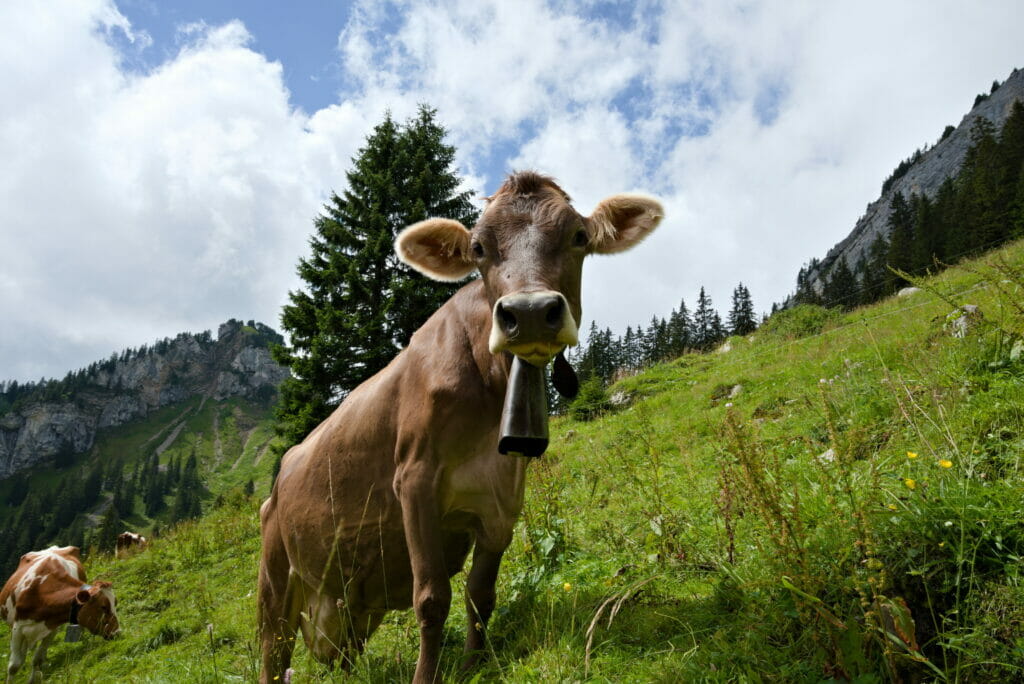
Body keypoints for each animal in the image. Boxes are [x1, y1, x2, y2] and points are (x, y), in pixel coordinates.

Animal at [1, 544, 119, 679]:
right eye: (103, 607)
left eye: (115, 603)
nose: (117, 632)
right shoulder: (18, 628)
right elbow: (14, 666)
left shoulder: (52, 627)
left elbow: (37, 660)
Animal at [251, 167, 659, 679]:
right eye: (479, 248)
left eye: (579, 237)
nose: (528, 312)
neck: (488, 389)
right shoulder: (415, 480)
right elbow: (431, 598)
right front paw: (428, 676)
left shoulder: (501, 498)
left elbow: (480, 594)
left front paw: (472, 665)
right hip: (276, 577)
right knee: (272, 650)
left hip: (346, 605)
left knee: (344, 655)